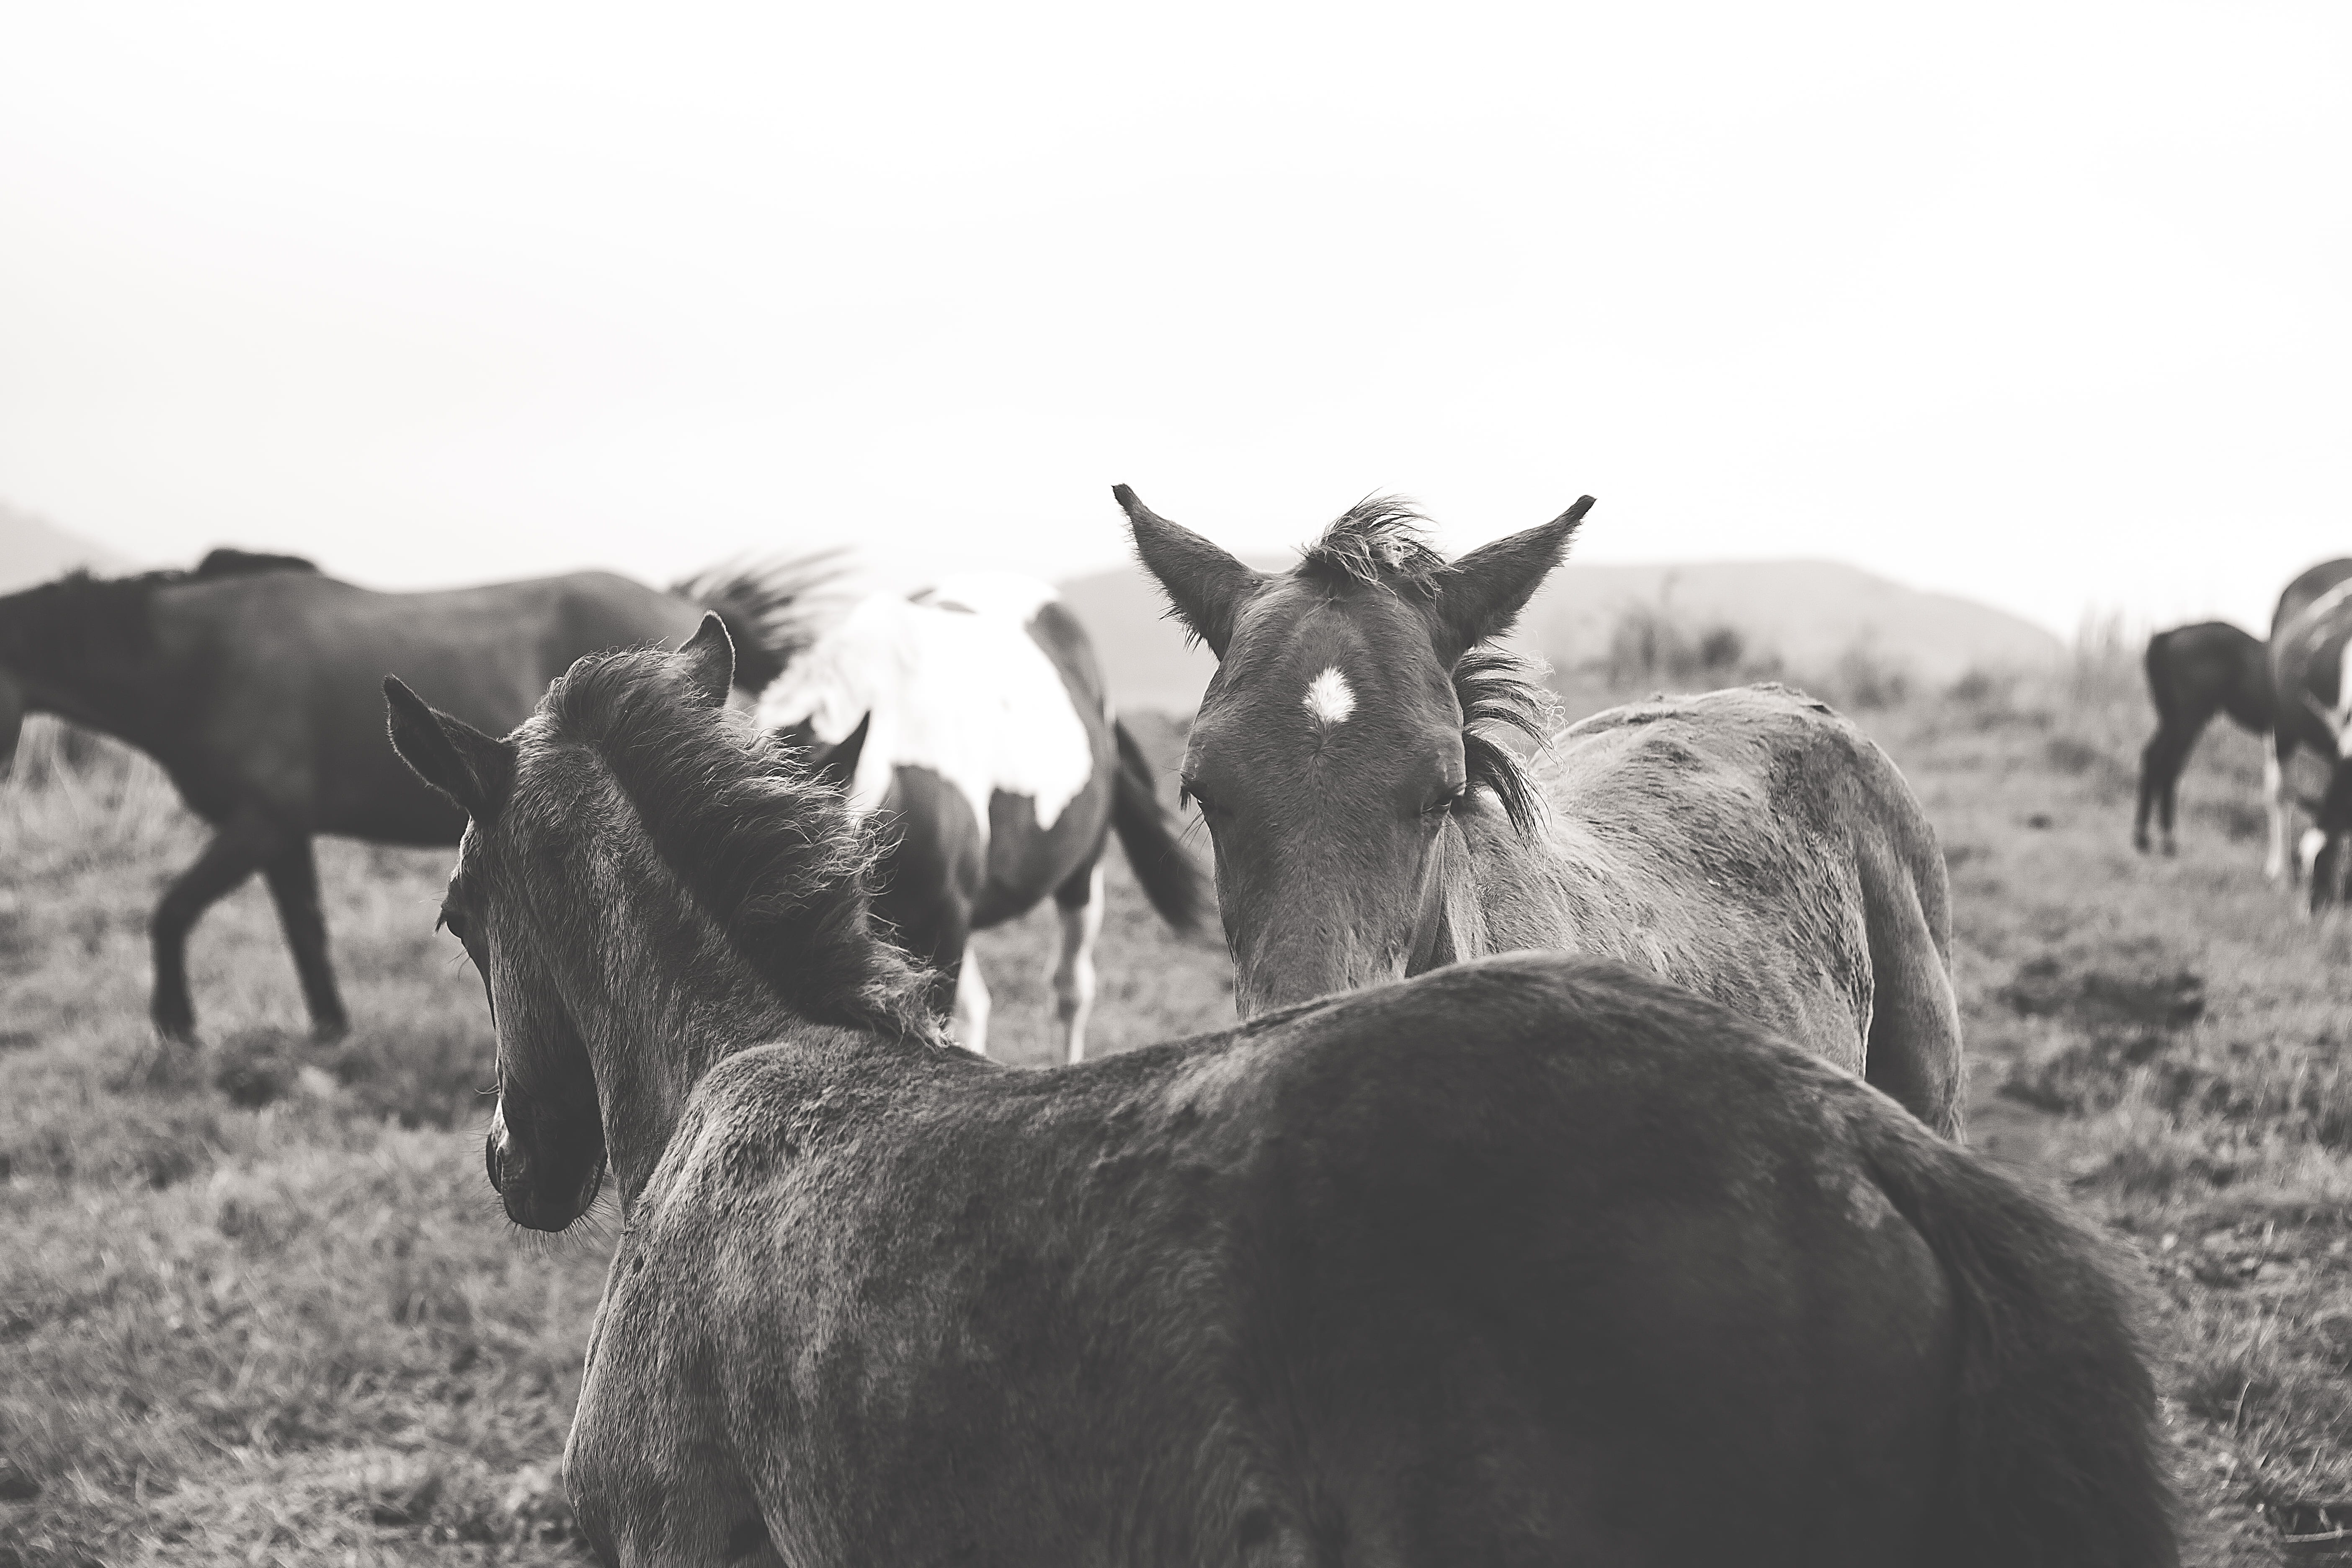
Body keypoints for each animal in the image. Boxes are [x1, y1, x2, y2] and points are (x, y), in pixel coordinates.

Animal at [0, 548, 828, 1042]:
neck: (202, 659)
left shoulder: (258, 822)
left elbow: (172, 911)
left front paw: (177, 1028)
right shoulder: (282, 833)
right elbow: (305, 931)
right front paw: (330, 1031)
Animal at [2132, 621, 2272, 856]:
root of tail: (2170, 635)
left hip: (2172, 719)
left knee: (2153, 757)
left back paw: (2143, 838)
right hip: (2190, 718)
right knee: (2170, 764)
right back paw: (2168, 840)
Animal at [2262, 558, 2352, 904]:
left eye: (2328, 863)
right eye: (2305, 862)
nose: (2308, 912)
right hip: (2281, 721)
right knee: (2280, 792)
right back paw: (2278, 874)